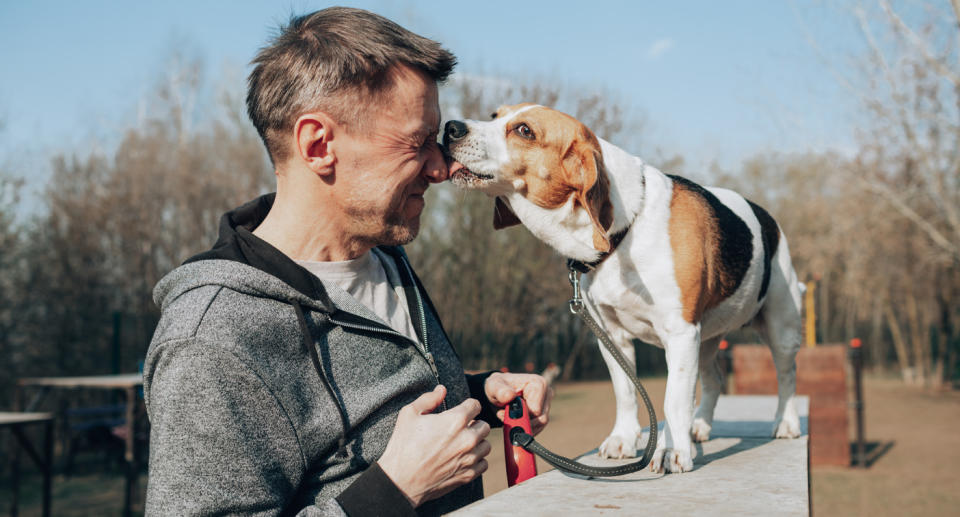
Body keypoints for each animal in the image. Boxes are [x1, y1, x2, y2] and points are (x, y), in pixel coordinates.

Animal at [442, 104, 804, 472]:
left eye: (524, 131)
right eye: (494, 115)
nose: (451, 128)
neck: (626, 229)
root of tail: (768, 218)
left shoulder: (680, 332)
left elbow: (674, 400)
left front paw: (673, 451)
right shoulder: (611, 334)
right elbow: (626, 392)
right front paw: (624, 440)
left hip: (779, 327)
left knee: (787, 375)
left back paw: (785, 423)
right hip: (707, 338)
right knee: (714, 379)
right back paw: (699, 426)